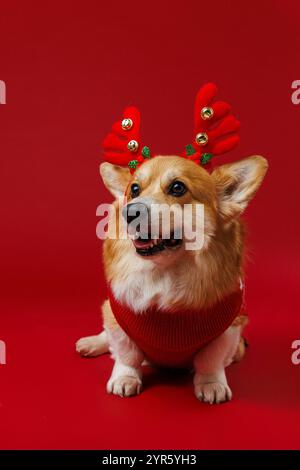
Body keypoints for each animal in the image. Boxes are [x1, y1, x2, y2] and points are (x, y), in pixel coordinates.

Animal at [76, 83, 268, 400]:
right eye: (134, 190)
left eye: (178, 188)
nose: (130, 211)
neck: (164, 273)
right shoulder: (119, 317)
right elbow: (126, 355)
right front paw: (124, 379)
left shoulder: (228, 329)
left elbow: (210, 360)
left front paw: (211, 385)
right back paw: (92, 343)